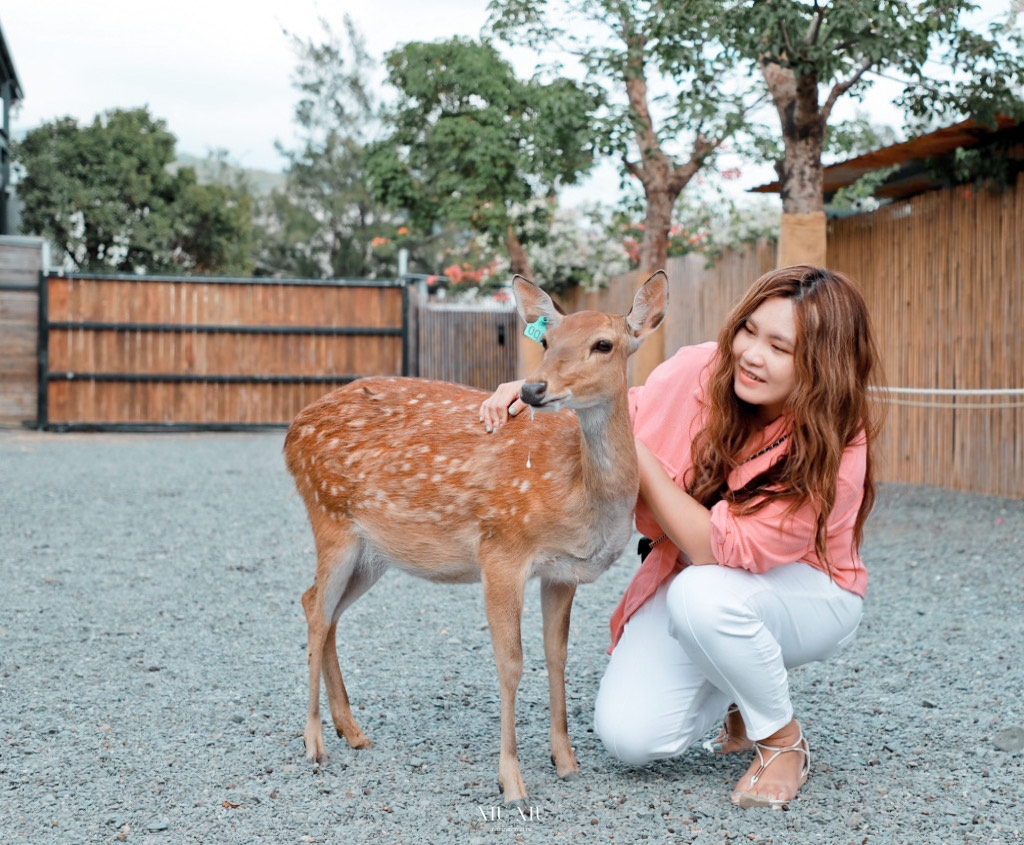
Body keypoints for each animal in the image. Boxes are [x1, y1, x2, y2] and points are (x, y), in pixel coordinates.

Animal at [284, 270, 667, 803]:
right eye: (546, 341)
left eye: (604, 344)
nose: (532, 388)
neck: (578, 494)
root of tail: (290, 431)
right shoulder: (501, 548)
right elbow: (511, 662)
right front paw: (512, 781)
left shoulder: (560, 572)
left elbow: (556, 656)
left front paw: (566, 762)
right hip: (329, 516)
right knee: (318, 610)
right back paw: (315, 742)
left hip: (372, 552)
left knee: (319, 605)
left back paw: (352, 731)